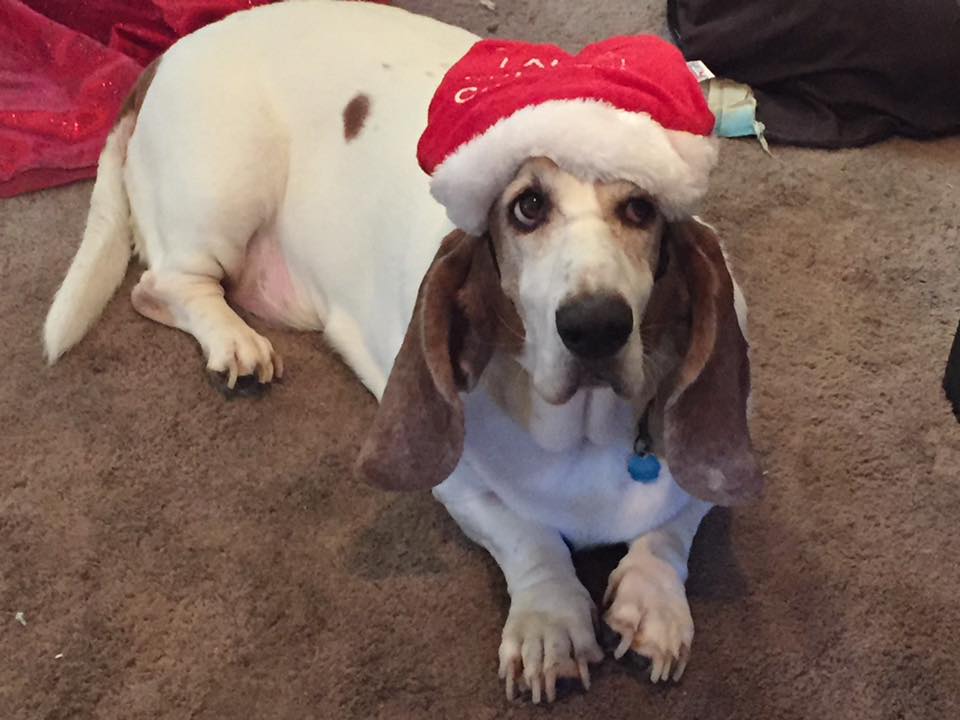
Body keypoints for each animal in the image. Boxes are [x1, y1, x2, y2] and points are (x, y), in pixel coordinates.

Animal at [43, 0, 764, 704]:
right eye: (527, 207)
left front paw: (654, 602)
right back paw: (234, 342)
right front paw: (550, 623)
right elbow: (530, 538)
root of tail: (176, 49)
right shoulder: (463, 485)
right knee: (163, 284)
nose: (595, 326)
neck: (583, 431)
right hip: (225, 188)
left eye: (641, 208)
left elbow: (672, 525)